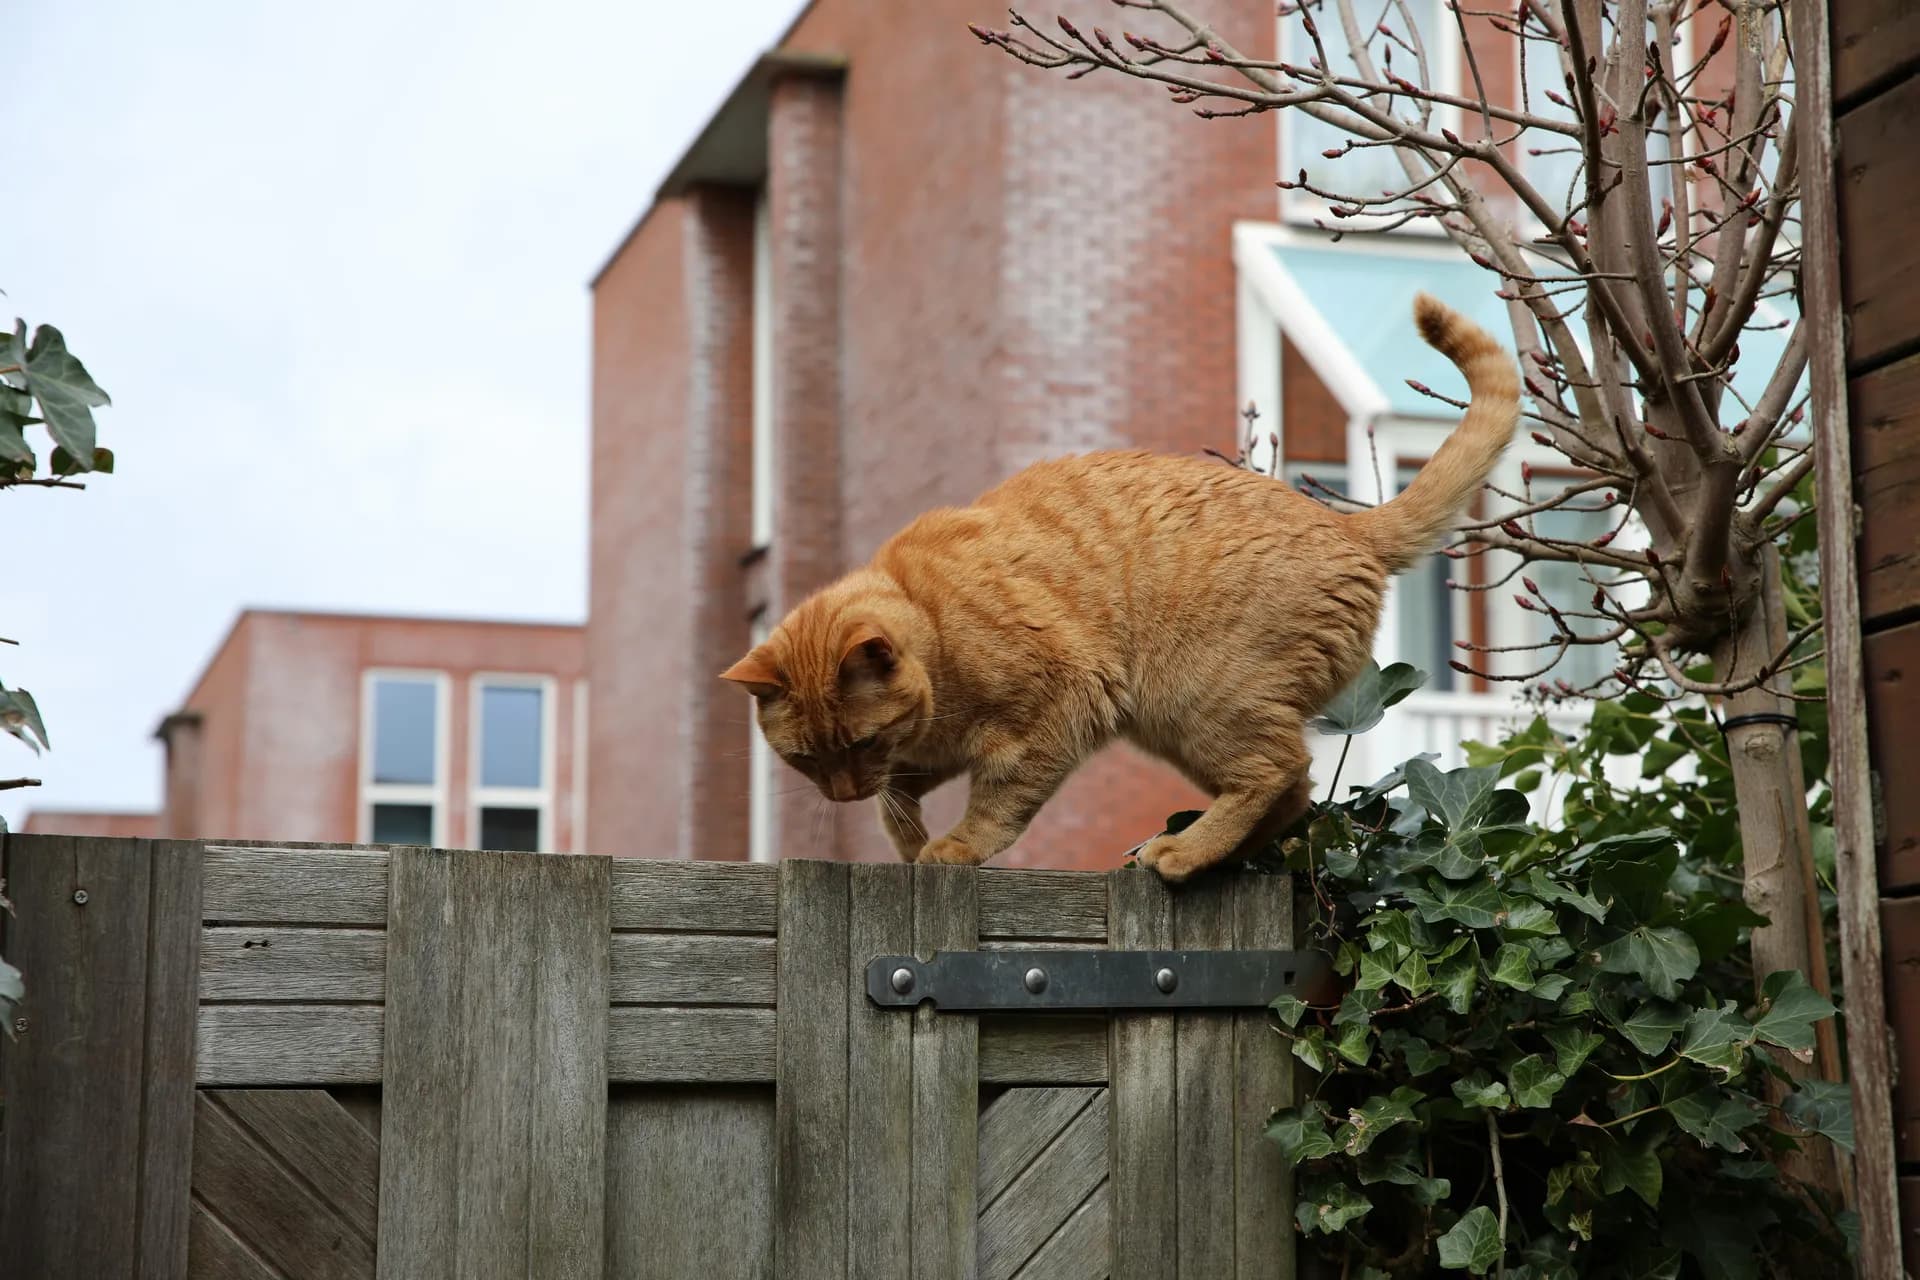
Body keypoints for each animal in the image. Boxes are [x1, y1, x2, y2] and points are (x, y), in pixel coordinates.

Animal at [721, 297, 1512, 886]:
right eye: (807, 760)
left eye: (859, 740)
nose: (843, 793)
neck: (934, 628)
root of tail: (1349, 527)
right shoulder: (929, 753)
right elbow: (900, 804)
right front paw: (907, 836)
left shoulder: (1054, 709)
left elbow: (998, 801)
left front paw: (953, 846)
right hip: (1176, 725)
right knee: (1293, 794)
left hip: (1196, 699)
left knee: (1278, 770)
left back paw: (1182, 853)